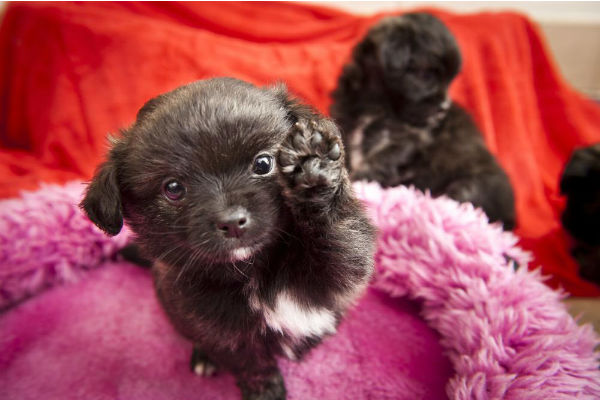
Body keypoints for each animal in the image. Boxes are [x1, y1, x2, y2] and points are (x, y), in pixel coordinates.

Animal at [80, 76, 376, 398]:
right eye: (173, 188)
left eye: (264, 164)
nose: (233, 222)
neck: (254, 272)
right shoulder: (220, 330)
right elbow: (251, 363)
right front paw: (265, 391)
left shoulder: (343, 267)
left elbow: (340, 239)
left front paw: (312, 165)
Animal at [328, 12, 516, 230]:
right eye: (426, 75)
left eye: (449, 80)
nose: (444, 108)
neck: (376, 103)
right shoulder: (348, 124)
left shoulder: (404, 139)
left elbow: (376, 162)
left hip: (467, 187)